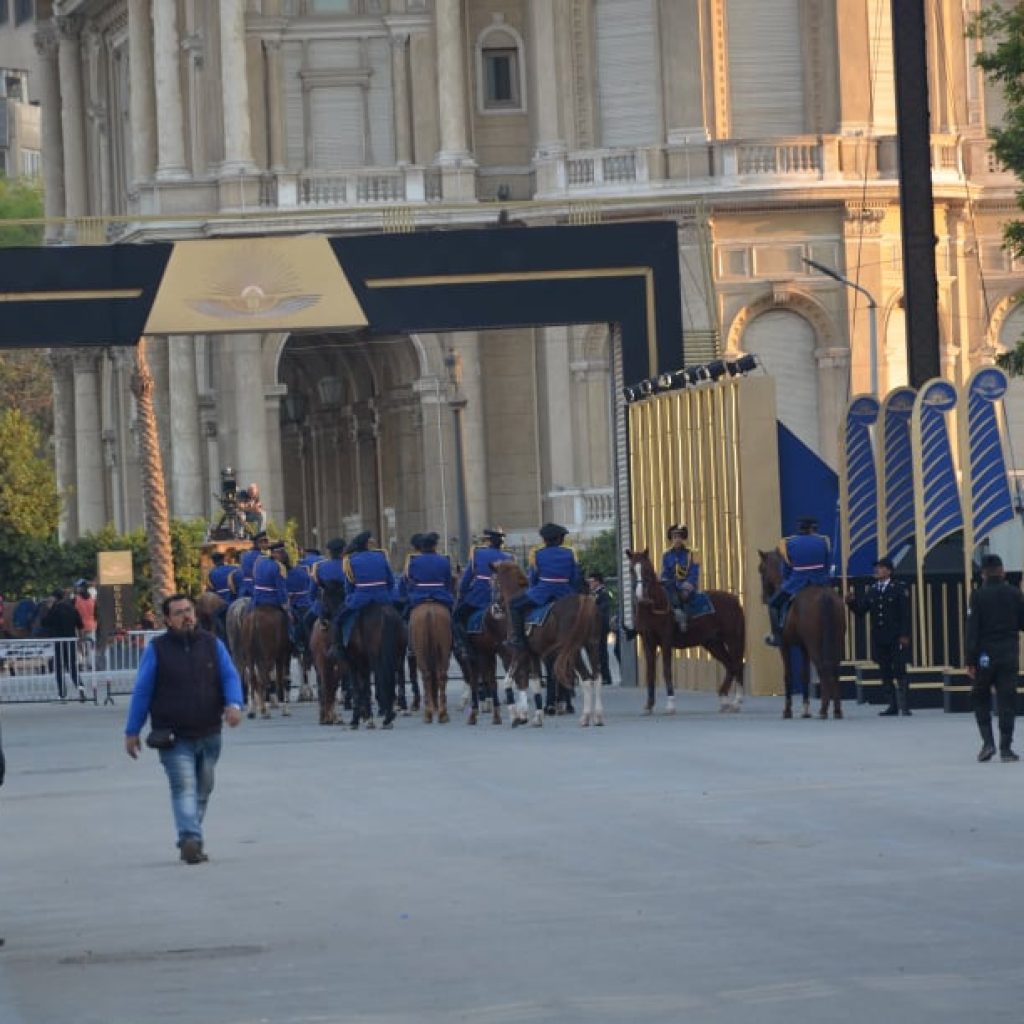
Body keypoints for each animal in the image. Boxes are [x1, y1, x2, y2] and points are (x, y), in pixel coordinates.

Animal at [489, 561, 602, 729]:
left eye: (494, 582)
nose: (495, 608)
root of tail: (583, 600)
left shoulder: (520, 651)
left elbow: (508, 681)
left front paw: (515, 716)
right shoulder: (533, 654)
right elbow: (535, 682)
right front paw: (536, 717)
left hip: (573, 651)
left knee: (587, 678)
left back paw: (585, 717)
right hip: (592, 646)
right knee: (597, 676)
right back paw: (598, 716)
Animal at [622, 552, 745, 712]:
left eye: (647, 569)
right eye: (631, 569)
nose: (640, 595)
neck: (653, 606)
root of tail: (735, 600)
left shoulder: (666, 641)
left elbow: (666, 670)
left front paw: (670, 704)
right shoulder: (647, 641)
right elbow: (650, 671)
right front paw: (649, 704)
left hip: (733, 639)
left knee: (737, 664)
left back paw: (737, 701)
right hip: (713, 644)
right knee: (730, 665)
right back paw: (724, 700)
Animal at [761, 552, 847, 720]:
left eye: (761, 569)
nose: (763, 597)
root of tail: (825, 595)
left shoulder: (784, 645)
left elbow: (788, 674)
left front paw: (787, 710)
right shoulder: (803, 647)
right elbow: (805, 675)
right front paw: (806, 710)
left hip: (814, 644)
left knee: (822, 668)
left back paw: (823, 709)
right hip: (836, 641)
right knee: (835, 669)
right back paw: (837, 710)